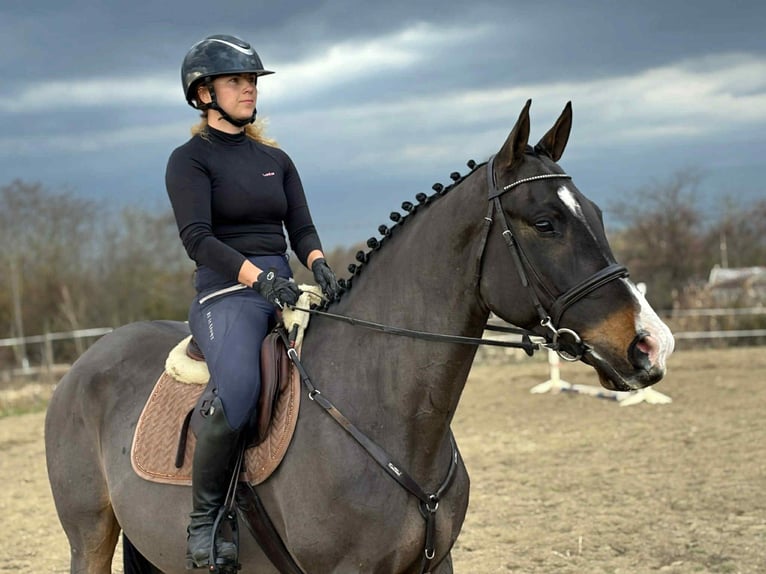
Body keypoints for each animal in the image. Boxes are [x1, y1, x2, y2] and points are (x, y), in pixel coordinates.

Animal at [45, 100, 674, 574]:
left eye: (595, 212)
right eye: (546, 224)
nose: (650, 344)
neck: (388, 411)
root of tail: (84, 364)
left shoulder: (435, 563)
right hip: (90, 537)